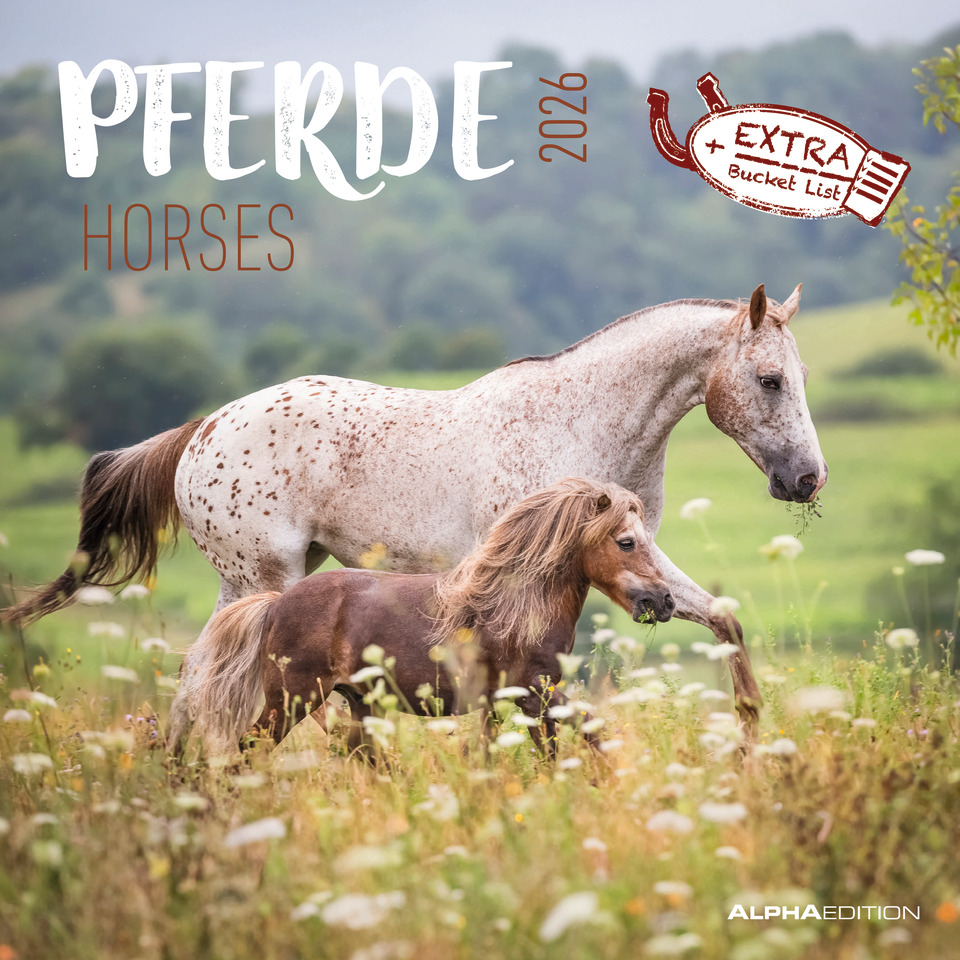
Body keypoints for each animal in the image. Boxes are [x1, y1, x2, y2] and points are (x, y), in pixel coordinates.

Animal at [180, 477, 675, 756]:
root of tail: (275, 604)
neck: (516, 608)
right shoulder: (536, 695)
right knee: (250, 749)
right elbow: (577, 741)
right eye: (627, 542)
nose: (665, 601)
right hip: (292, 700)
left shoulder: (512, 702)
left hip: (357, 705)